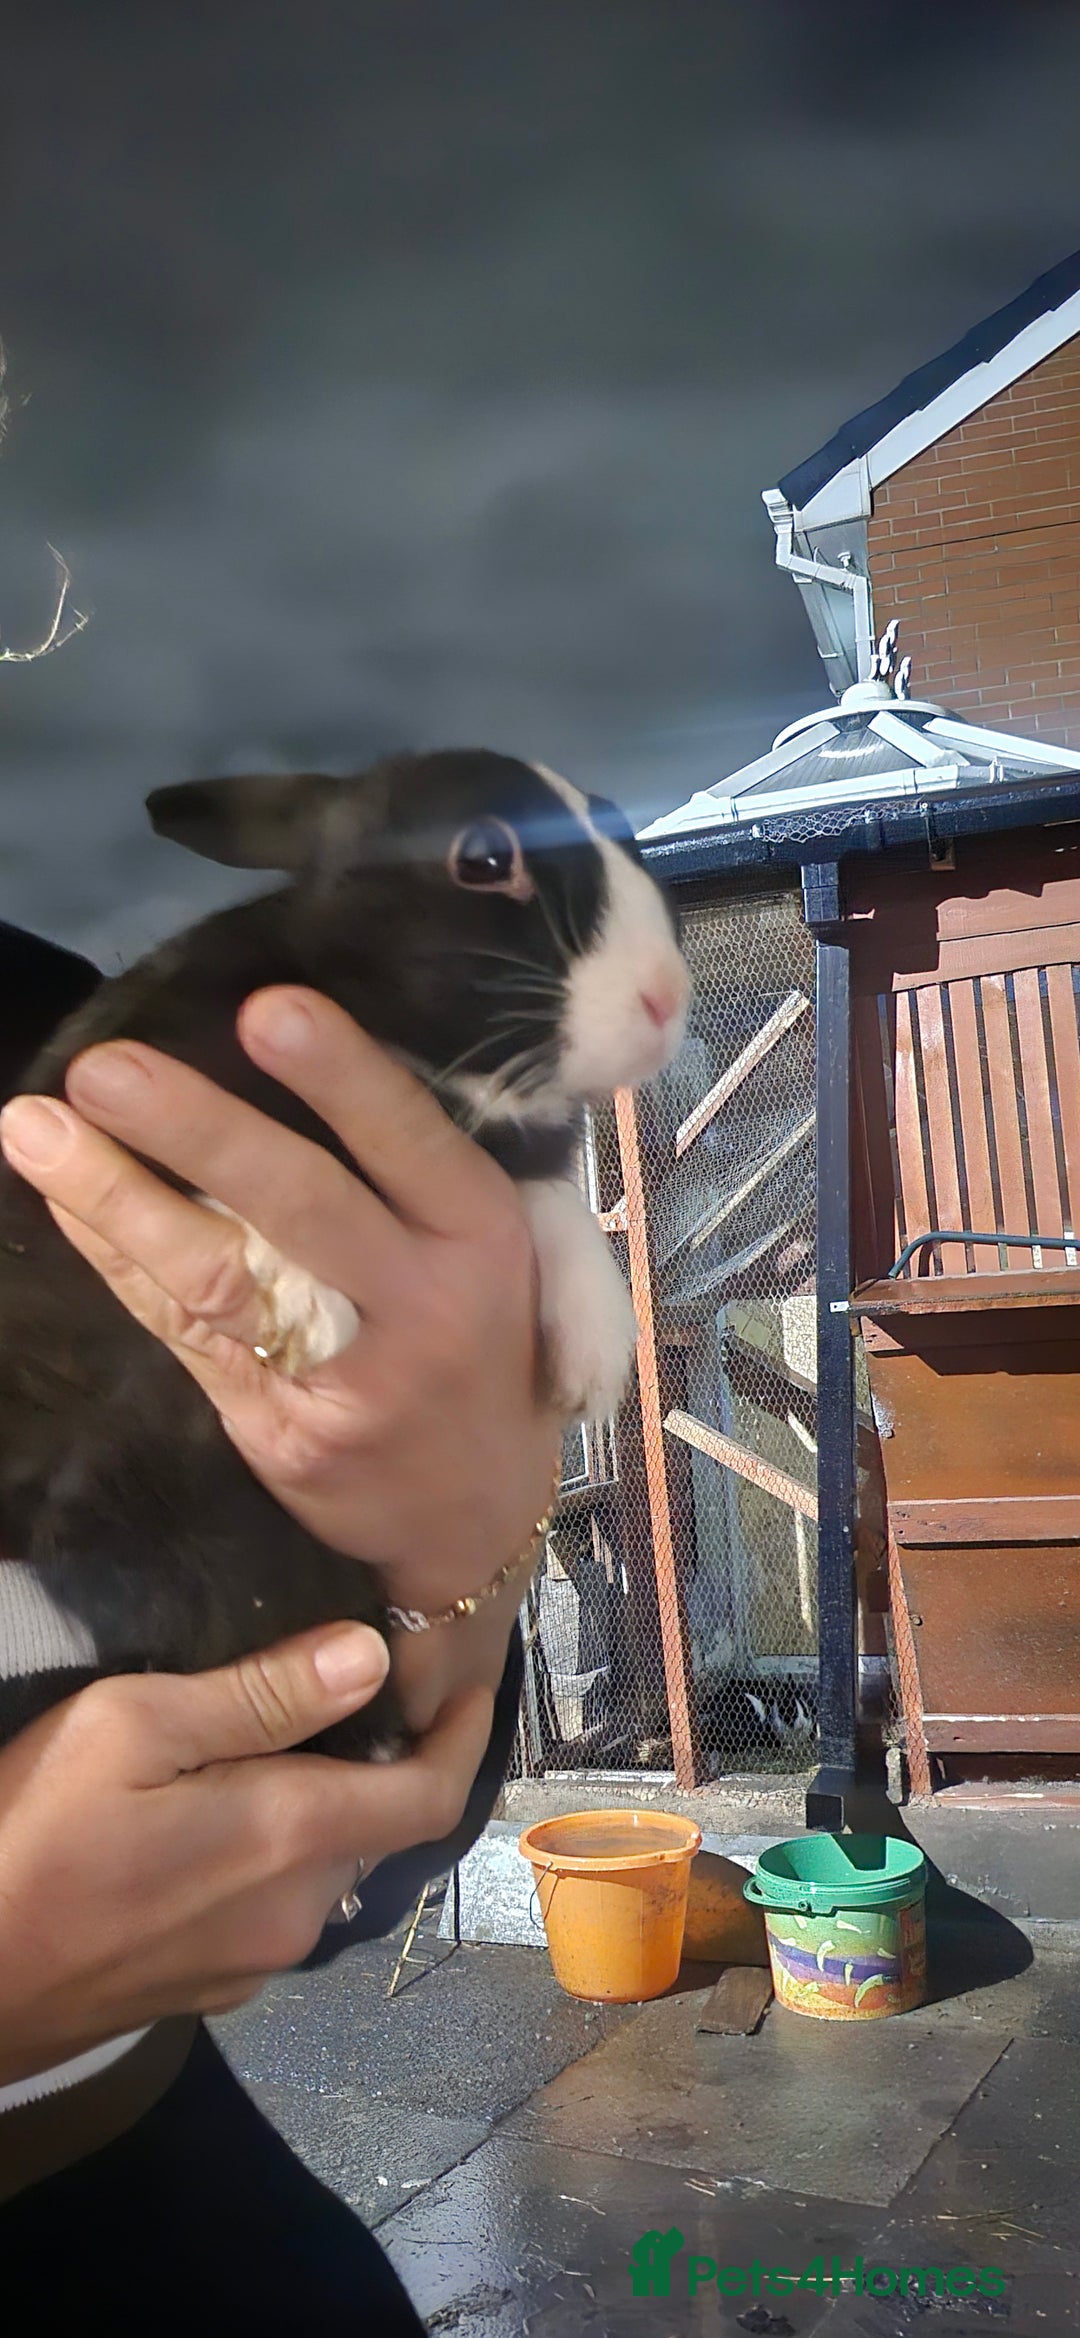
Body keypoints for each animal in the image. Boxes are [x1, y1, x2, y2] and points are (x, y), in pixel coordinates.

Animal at [0, 749, 689, 1758]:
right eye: (485, 858)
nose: (664, 999)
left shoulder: (508, 1151)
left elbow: (549, 1198)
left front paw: (597, 1356)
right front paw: (300, 1306)